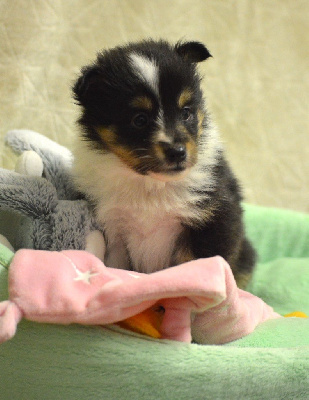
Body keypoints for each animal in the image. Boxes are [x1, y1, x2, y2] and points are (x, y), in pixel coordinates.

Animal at [72, 39, 255, 288]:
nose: (177, 152)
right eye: (139, 120)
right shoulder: (113, 228)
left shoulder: (215, 218)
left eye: (186, 112)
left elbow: (198, 266)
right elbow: (115, 267)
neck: (152, 186)